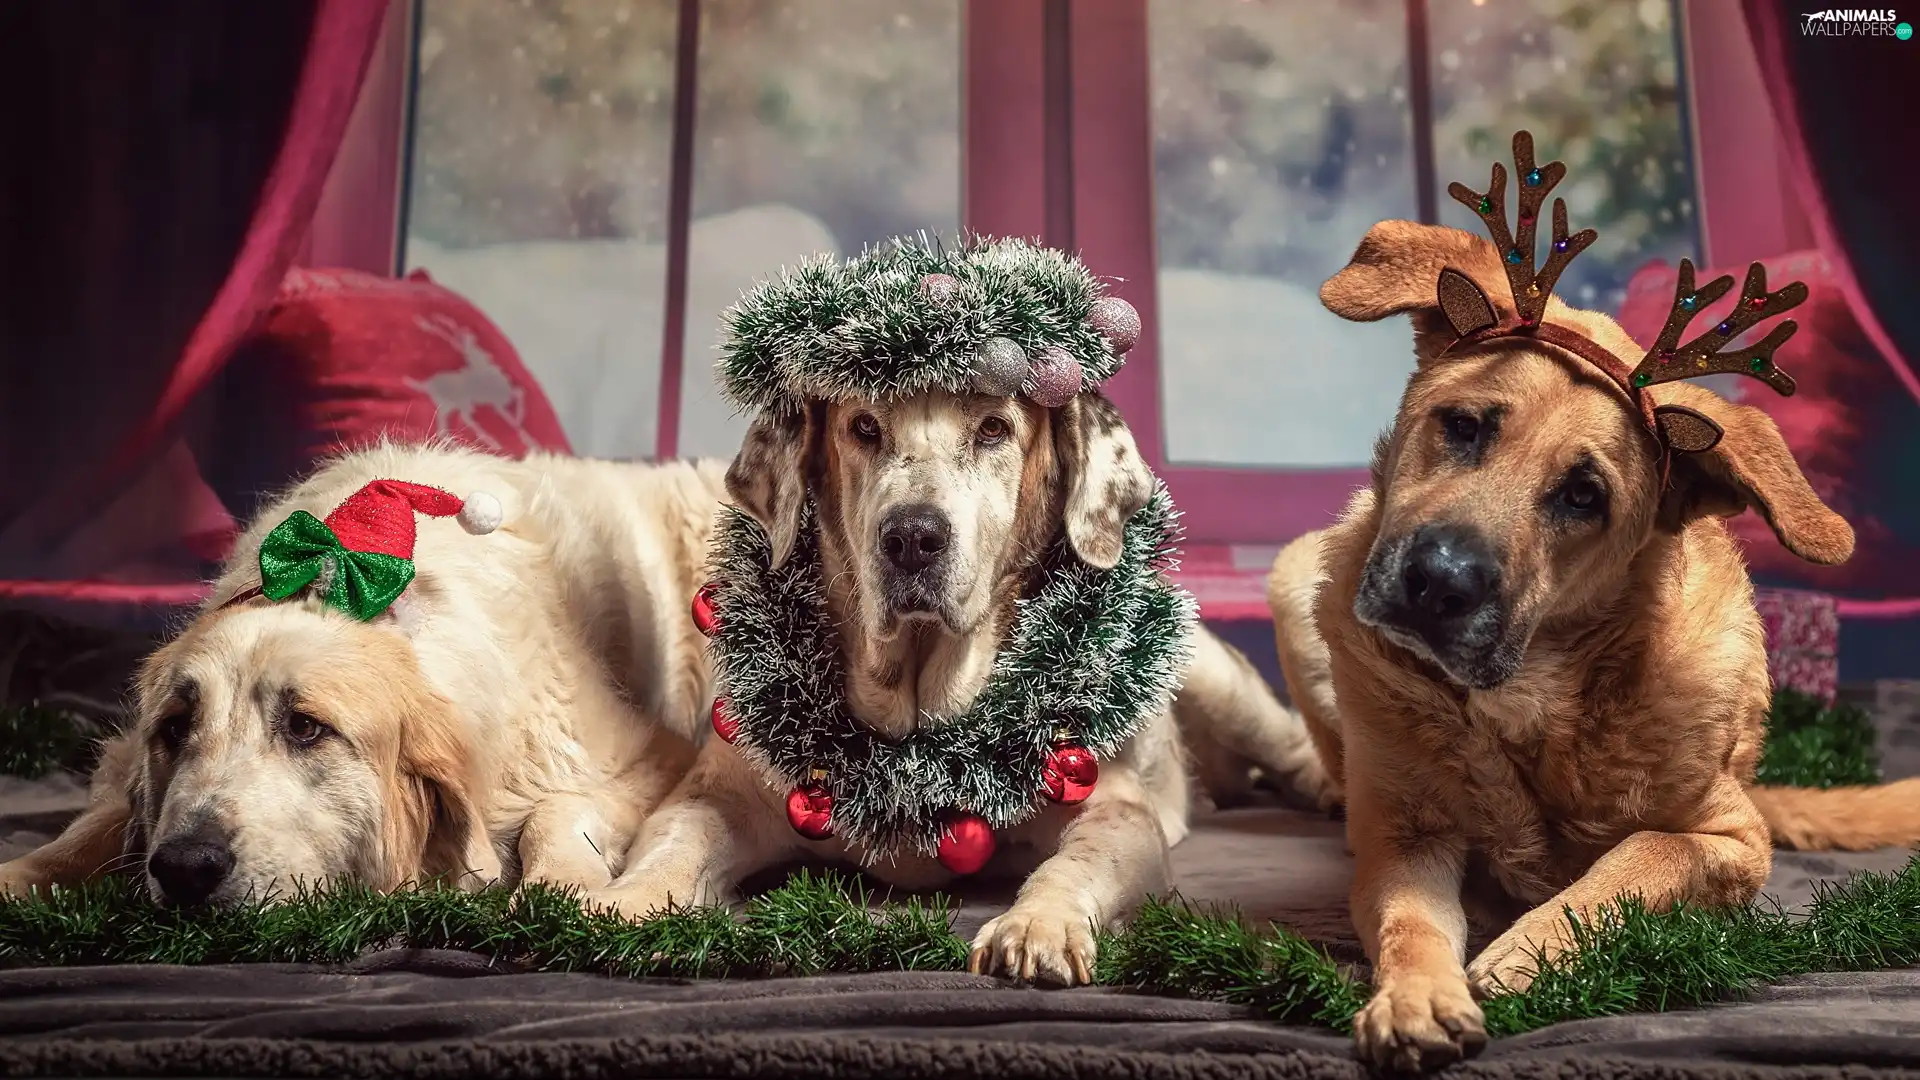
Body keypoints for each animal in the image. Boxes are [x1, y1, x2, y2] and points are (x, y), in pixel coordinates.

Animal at [1274, 219, 1920, 1068]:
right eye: (1464, 426)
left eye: (1584, 496)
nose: (1438, 583)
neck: (1534, 701)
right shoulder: (1403, 839)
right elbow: (1410, 922)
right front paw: (1416, 996)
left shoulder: (1731, 838)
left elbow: (1637, 861)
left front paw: (1530, 950)